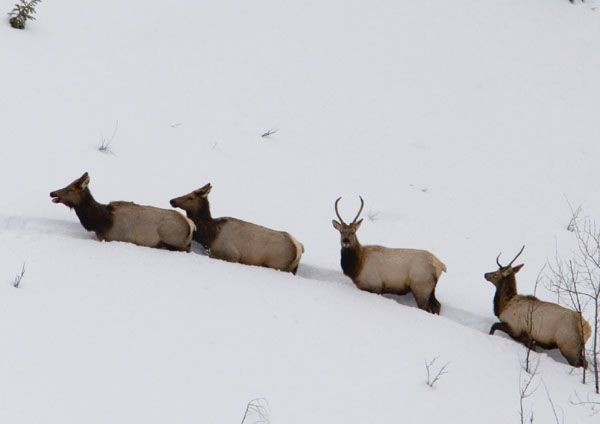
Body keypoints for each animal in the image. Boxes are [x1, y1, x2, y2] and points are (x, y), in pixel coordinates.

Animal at [169, 184, 304, 274]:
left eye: (191, 197)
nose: (172, 200)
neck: (209, 237)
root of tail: (299, 248)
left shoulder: (231, 255)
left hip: (277, 264)